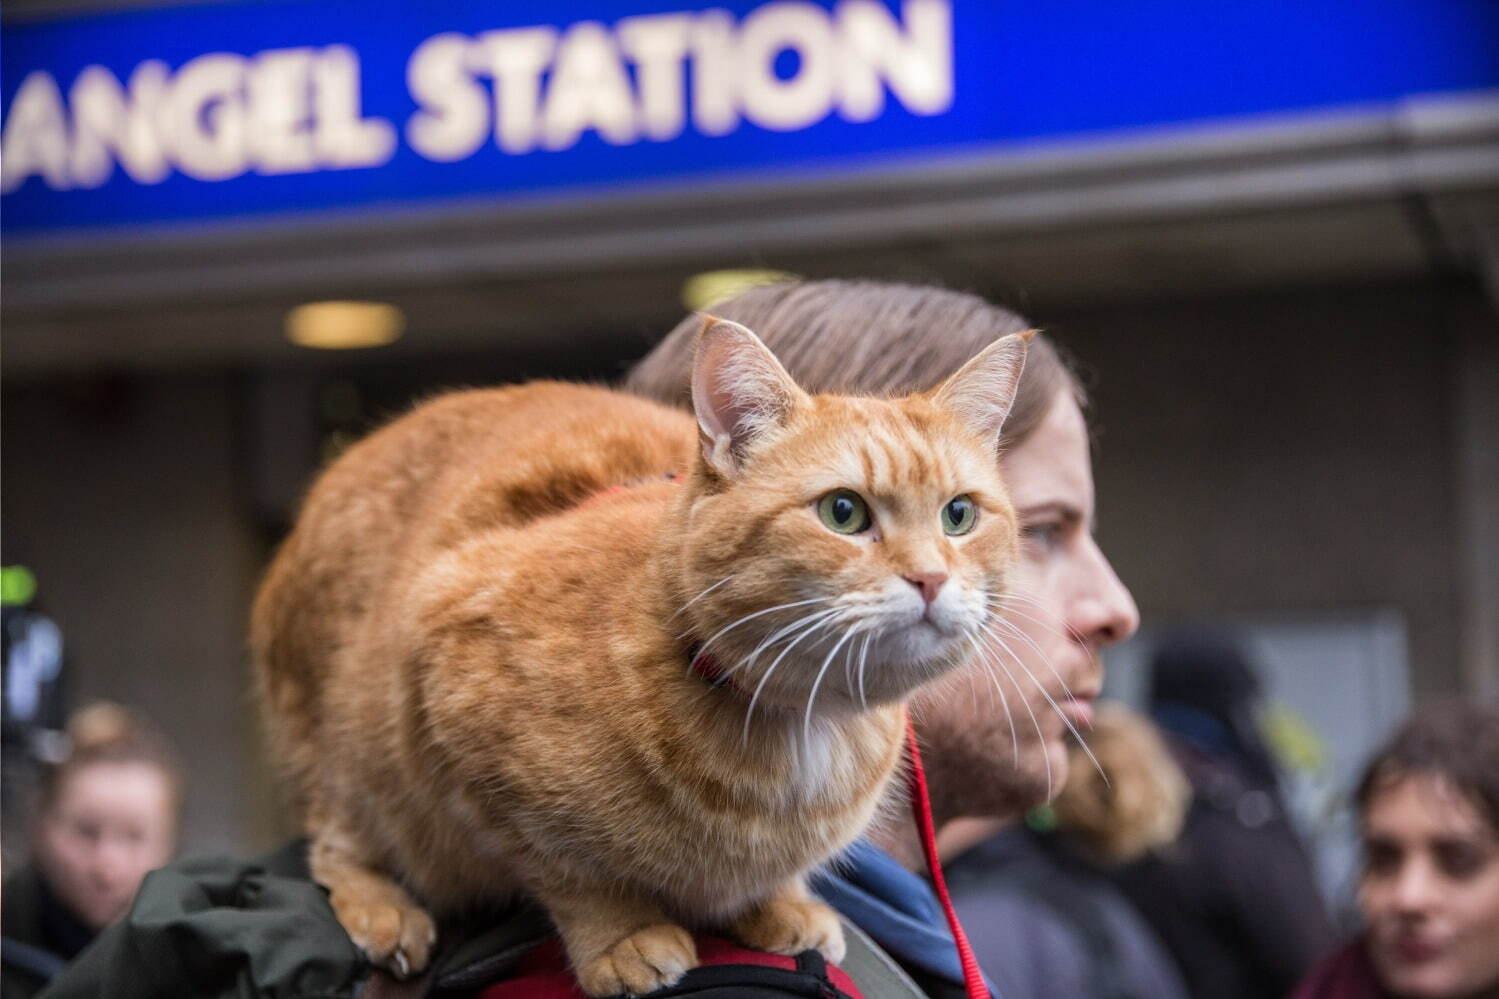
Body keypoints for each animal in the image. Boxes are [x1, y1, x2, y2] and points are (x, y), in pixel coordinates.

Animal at [254, 316, 1031, 990]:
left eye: (958, 515)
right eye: (843, 512)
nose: (930, 578)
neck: (801, 724)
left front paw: (780, 902)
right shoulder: (455, 697)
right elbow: (571, 873)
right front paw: (622, 936)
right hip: (358, 744)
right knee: (334, 839)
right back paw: (384, 911)